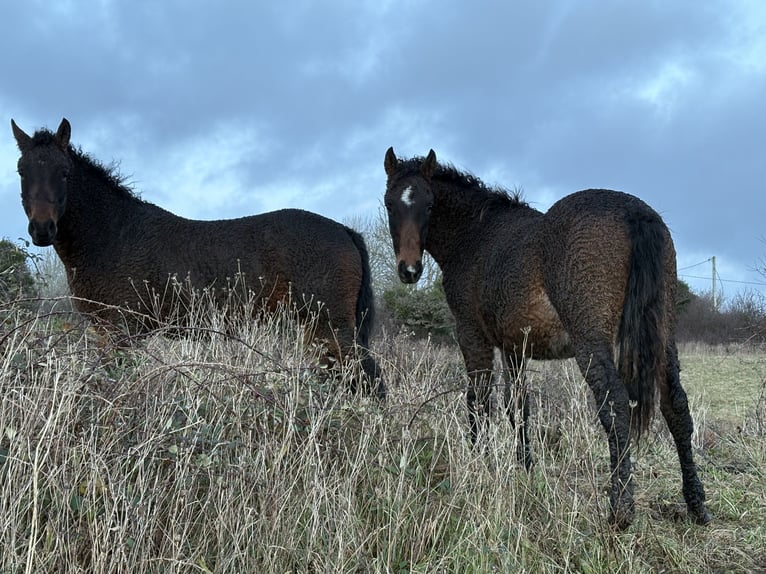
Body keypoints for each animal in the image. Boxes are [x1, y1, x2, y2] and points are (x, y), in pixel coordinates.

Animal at [9, 117, 385, 399]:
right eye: (21, 171)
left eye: (64, 172)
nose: (41, 229)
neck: (113, 232)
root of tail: (345, 231)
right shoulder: (105, 332)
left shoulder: (122, 331)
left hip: (333, 328)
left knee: (370, 379)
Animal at [383, 147, 710, 529]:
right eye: (390, 203)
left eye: (430, 204)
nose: (409, 270)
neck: (476, 235)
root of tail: (636, 213)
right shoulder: (514, 347)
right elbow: (518, 404)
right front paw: (525, 467)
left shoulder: (472, 334)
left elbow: (478, 399)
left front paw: (478, 462)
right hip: (663, 337)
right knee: (676, 406)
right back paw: (696, 504)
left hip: (591, 342)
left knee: (616, 405)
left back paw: (620, 509)